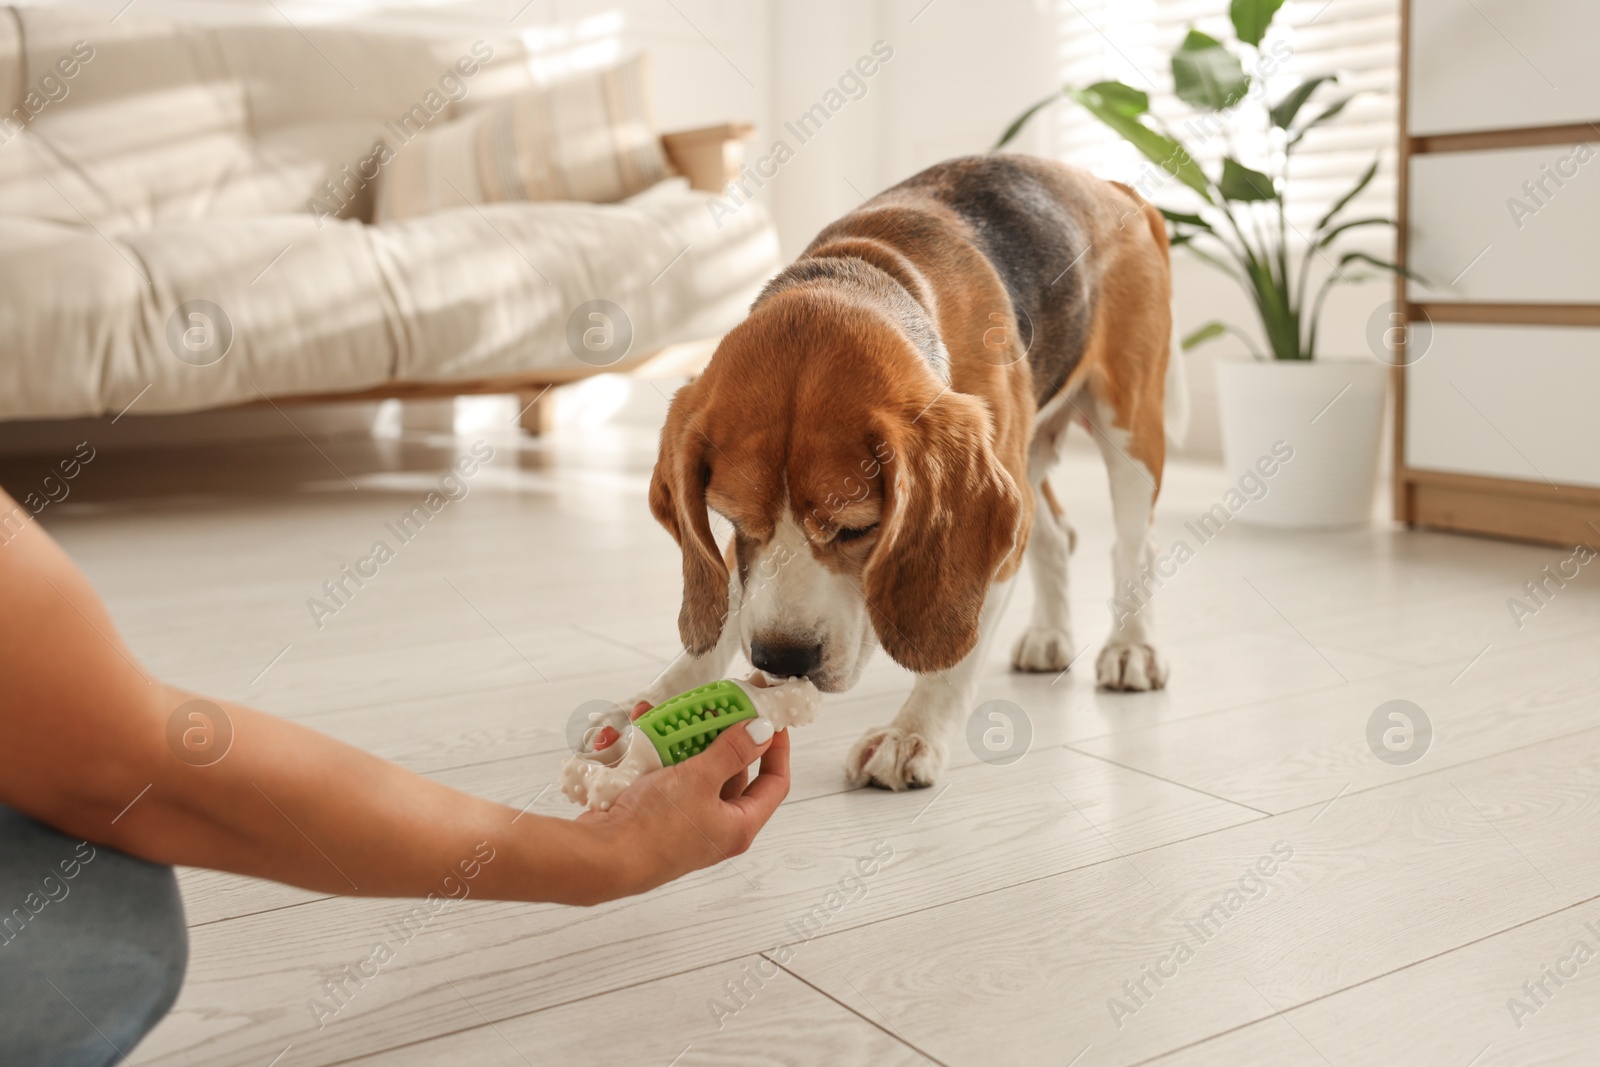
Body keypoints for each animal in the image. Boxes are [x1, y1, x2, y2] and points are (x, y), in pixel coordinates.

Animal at [636, 156, 1177, 793]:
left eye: (857, 529)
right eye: (734, 522)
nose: (782, 661)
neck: (862, 277)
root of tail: (1109, 186)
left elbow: (953, 658)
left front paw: (911, 733)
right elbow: (727, 600)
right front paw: (660, 701)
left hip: (1129, 427)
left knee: (1133, 545)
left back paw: (1132, 648)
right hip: (1026, 460)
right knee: (1053, 533)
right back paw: (1051, 635)